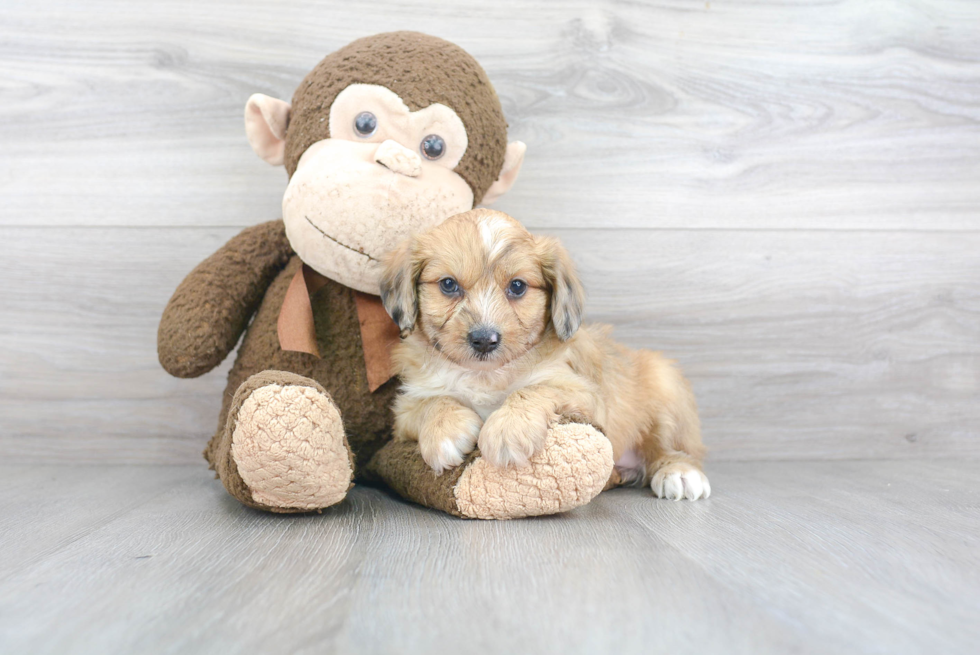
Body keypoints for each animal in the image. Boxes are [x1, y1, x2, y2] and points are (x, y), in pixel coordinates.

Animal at [378, 210, 708, 502]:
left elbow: (534, 389)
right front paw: (444, 432)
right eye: (448, 284)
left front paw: (508, 430)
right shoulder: (405, 410)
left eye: (517, 286)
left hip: (665, 383)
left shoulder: (581, 392)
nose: (484, 340)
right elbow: (435, 401)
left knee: (671, 449)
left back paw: (680, 473)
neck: (485, 376)